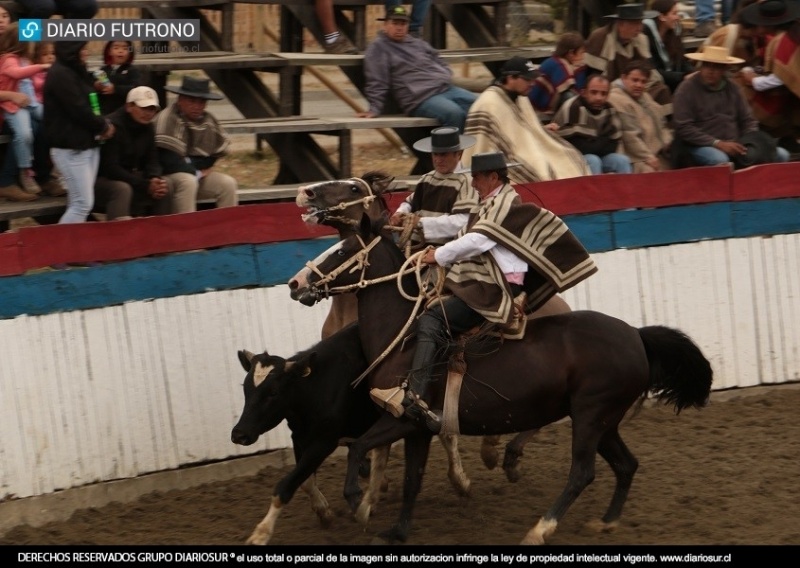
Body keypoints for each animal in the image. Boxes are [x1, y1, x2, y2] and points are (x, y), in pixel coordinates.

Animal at [290, 217, 716, 544]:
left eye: (342, 250)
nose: (296, 284)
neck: (404, 337)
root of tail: (636, 334)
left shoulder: (402, 419)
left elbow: (359, 448)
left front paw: (358, 504)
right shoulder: (416, 429)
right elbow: (412, 478)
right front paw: (396, 531)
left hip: (591, 415)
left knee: (582, 472)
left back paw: (539, 529)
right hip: (605, 421)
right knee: (626, 465)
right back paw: (606, 522)